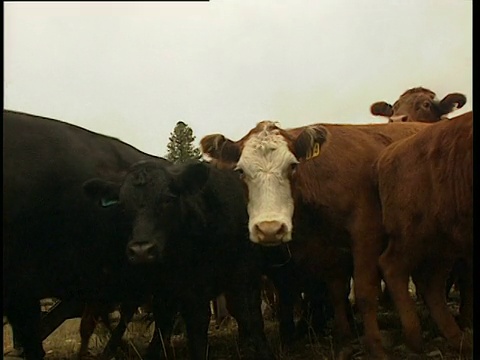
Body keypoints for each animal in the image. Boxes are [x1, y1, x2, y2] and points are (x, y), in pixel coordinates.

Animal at [83, 160, 274, 360]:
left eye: (168, 199)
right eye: (122, 205)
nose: (141, 250)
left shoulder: (235, 275)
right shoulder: (166, 292)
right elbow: (165, 327)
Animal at [201, 121, 434, 360]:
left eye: (292, 166)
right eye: (240, 171)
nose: (269, 229)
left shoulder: (366, 236)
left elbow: (364, 292)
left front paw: (376, 347)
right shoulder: (328, 250)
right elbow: (334, 291)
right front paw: (344, 342)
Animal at [376, 111, 472, 356]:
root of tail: (387, 155)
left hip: (444, 243)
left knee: (432, 284)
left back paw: (458, 339)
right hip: (414, 237)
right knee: (393, 267)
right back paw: (415, 338)